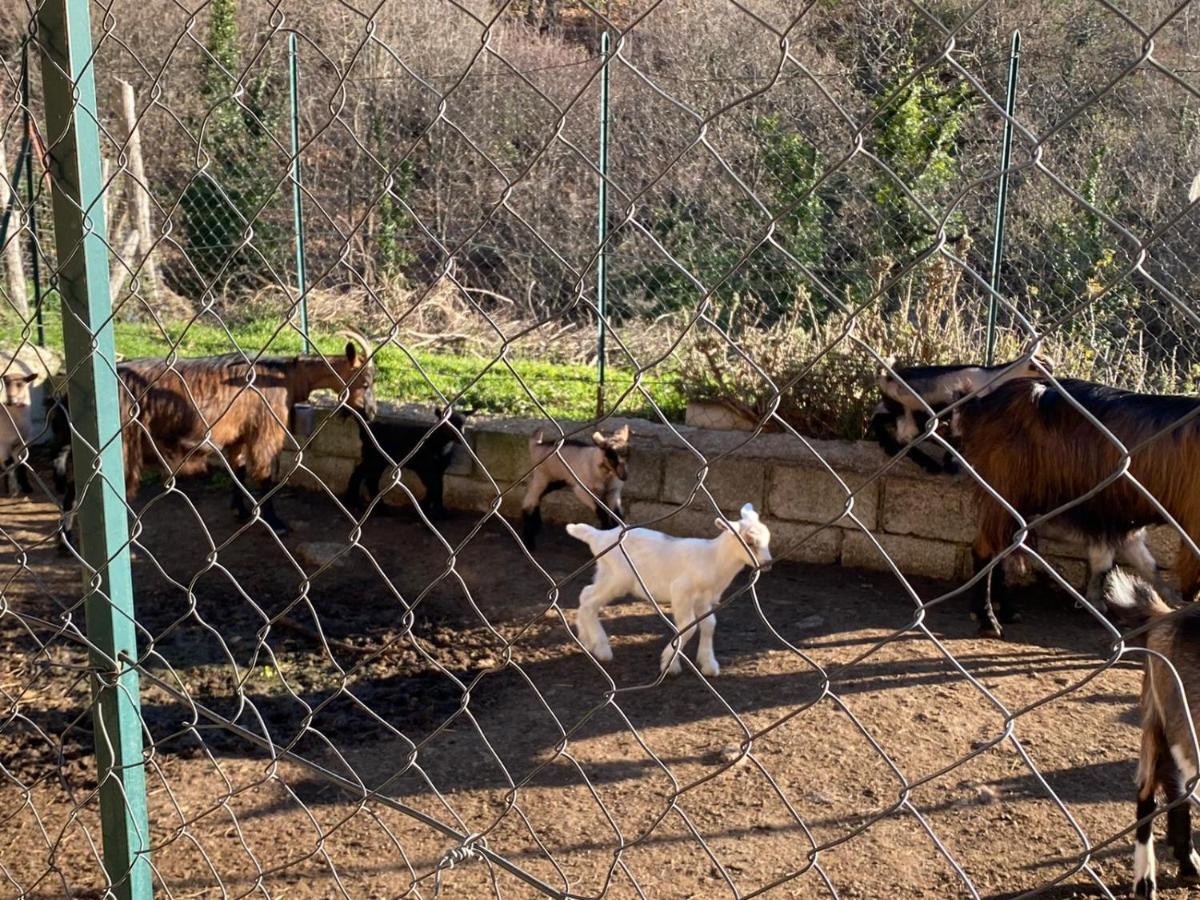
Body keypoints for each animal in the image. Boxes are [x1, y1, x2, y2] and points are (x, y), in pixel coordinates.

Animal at [955, 376, 1200, 638]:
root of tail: (983, 404)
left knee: (1003, 545)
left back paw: (1009, 611)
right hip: (1005, 488)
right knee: (985, 547)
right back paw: (987, 619)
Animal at [1104, 573, 1200, 897]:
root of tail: (1168, 614)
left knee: (1174, 784)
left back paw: (1187, 862)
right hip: (1162, 715)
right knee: (1148, 792)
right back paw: (1144, 880)